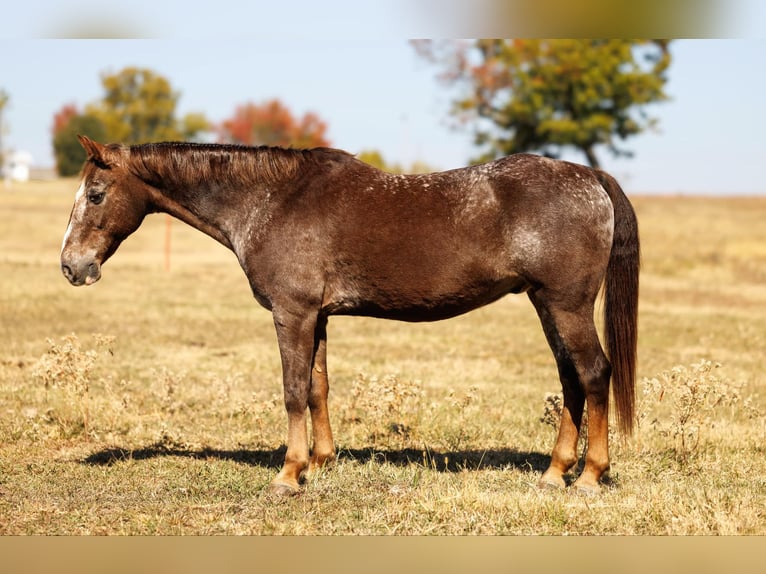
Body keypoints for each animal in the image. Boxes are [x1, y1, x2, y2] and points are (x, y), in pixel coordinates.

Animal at [61, 135, 639, 496]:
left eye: (96, 195)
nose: (71, 266)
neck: (271, 200)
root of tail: (589, 176)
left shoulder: (291, 314)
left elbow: (293, 390)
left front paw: (288, 474)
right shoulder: (316, 317)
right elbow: (318, 387)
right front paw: (320, 461)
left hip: (566, 306)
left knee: (593, 374)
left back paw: (590, 477)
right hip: (546, 304)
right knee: (571, 381)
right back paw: (554, 473)